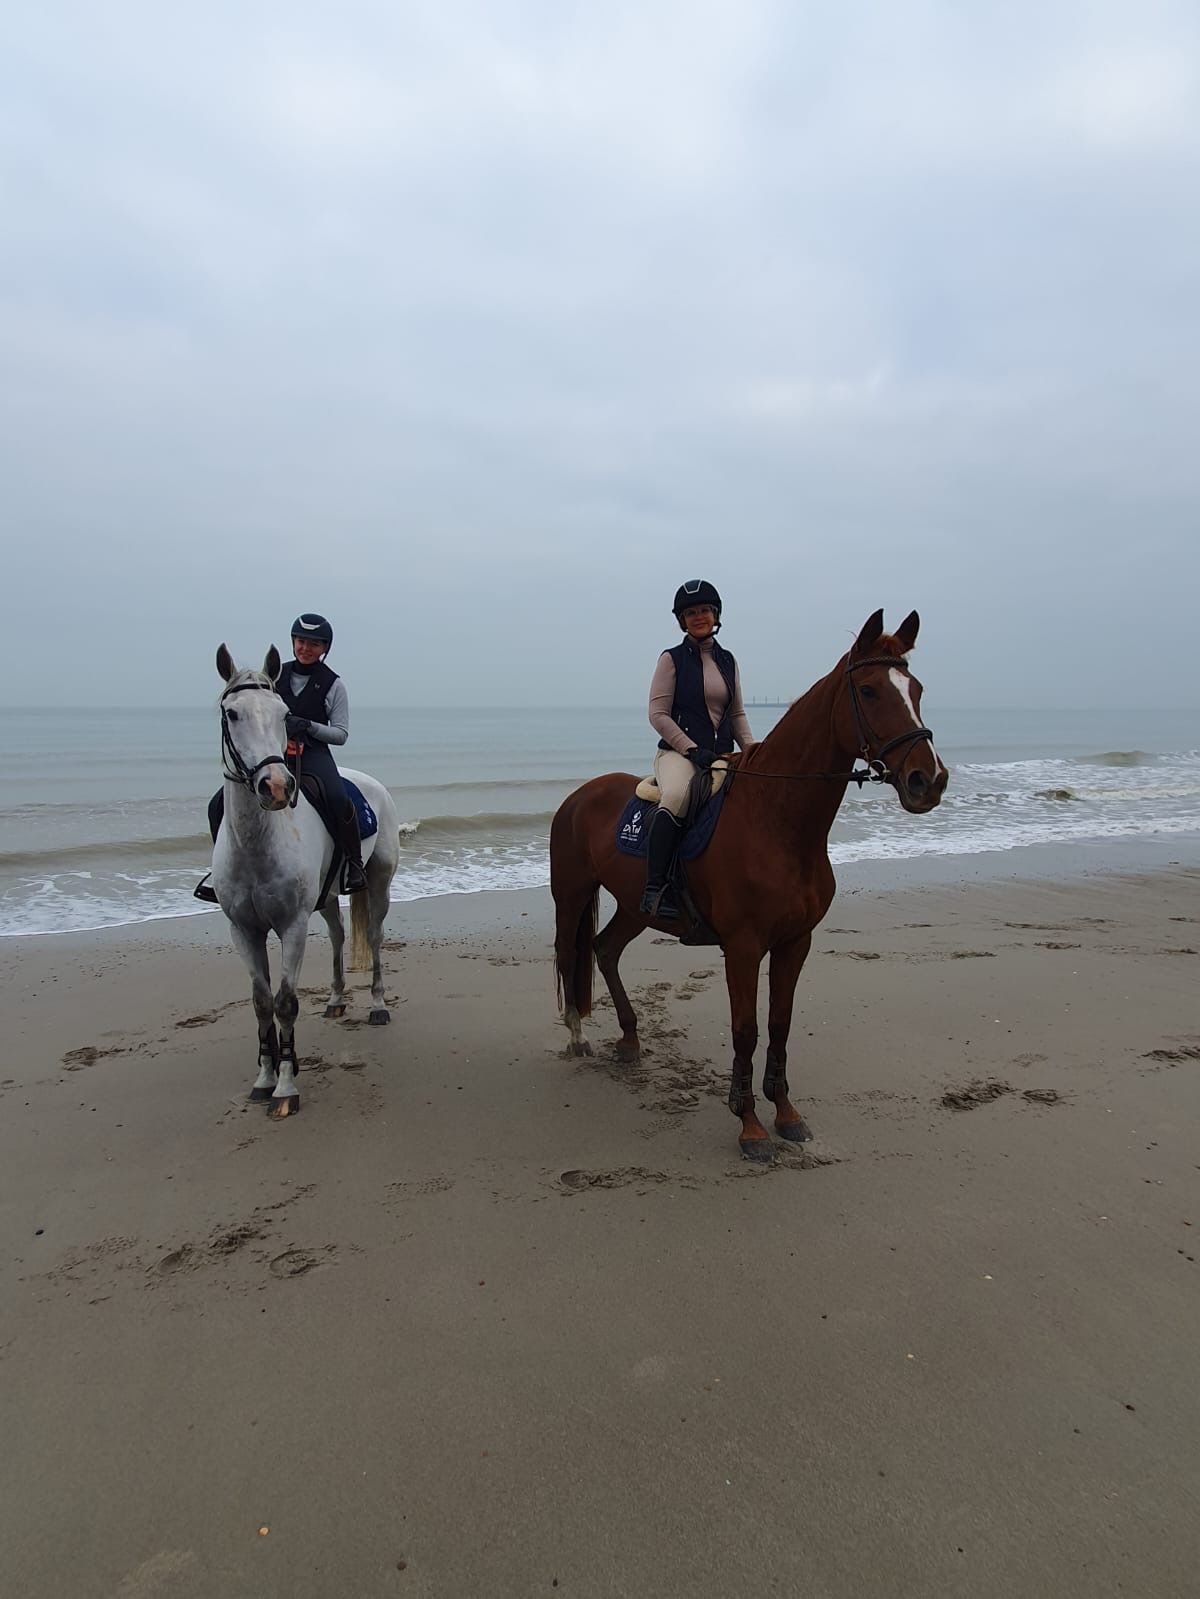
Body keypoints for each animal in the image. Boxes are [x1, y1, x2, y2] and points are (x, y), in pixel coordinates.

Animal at [210, 644, 401, 1118]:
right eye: (232, 713)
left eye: (283, 714)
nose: (276, 786)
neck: (258, 845)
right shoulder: (243, 929)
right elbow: (261, 1001)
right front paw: (264, 1078)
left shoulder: (292, 925)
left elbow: (286, 1001)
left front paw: (286, 1087)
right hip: (327, 898)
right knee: (337, 936)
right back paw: (335, 1001)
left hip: (379, 884)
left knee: (375, 937)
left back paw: (377, 1005)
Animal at [550, 609, 949, 1159]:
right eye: (868, 691)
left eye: (917, 689)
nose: (927, 780)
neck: (777, 821)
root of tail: (579, 796)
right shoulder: (742, 946)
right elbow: (746, 1029)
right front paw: (750, 1125)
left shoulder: (794, 942)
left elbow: (779, 1025)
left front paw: (786, 1115)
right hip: (571, 896)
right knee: (570, 954)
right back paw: (576, 1037)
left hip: (635, 907)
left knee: (605, 949)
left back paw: (629, 1041)